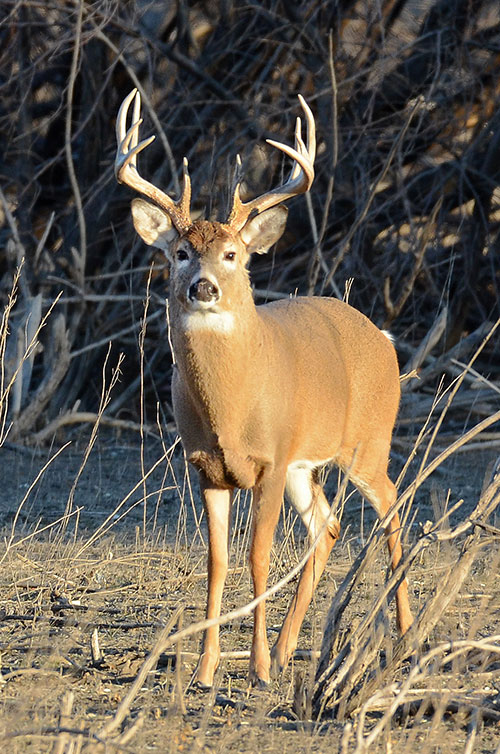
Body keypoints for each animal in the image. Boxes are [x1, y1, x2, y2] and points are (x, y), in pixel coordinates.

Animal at [115, 88, 412, 688]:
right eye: (180, 252)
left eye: (232, 254)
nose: (203, 287)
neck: (231, 409)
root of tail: (384, 336)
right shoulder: (207, 465)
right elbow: (217, 561)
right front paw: (207, 671)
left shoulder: (272, 459)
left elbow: (257, 555)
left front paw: (253, 668)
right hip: (307, 464)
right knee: (328, 526)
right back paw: (285, 647)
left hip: (368, 441)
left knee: (392, 508)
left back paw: (408, 634)